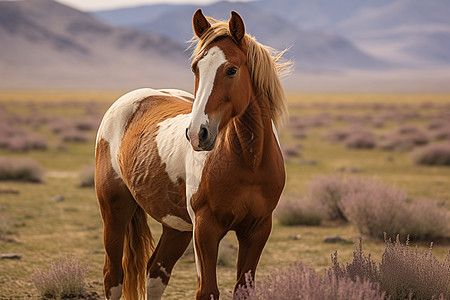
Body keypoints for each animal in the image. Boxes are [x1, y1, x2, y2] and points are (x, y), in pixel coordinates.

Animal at [96, 8, 290, 300]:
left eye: (232, 70)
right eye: (195, 68)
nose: (198, 134)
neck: (249, 162)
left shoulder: (257, 230)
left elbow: (242, 289)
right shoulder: (206, 229)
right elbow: (207, 291)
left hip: (176, 228)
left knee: (155, 273)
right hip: (115, 210)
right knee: (113, 278)